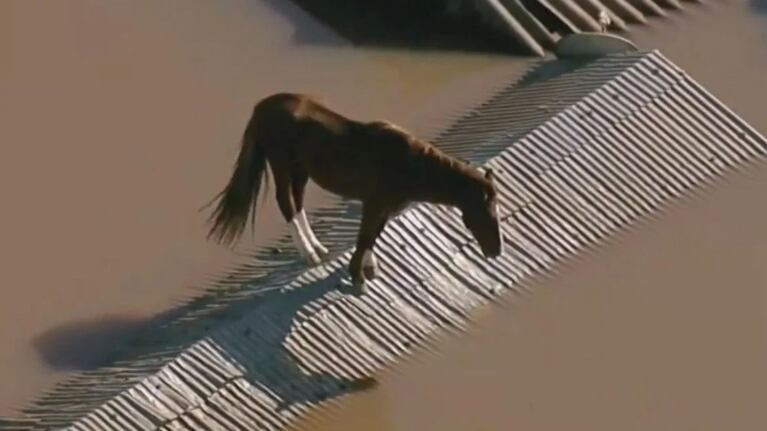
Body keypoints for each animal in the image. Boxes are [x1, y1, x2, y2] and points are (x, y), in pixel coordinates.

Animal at [204, 93, 503, 292]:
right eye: (487, 213)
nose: (496, 252)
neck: (411, 166)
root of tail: (263, 106)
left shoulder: (384, 208)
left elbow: (373, 237)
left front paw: (369, 269)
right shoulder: (374, 204)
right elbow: (365, 238)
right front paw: (358, 278)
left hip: (300, 171)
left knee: (298, 204)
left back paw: (318, 248)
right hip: (281, 165)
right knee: (286, 203)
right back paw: (310, 254)